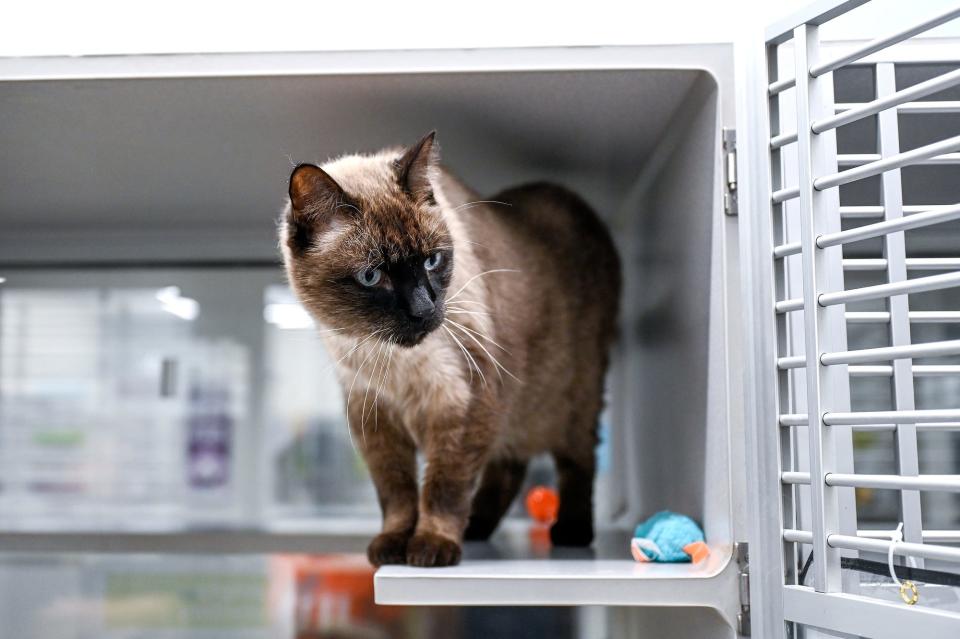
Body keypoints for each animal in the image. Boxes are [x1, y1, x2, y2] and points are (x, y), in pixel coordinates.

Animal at [282, 132, 620, 568]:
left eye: (433, 261)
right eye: (372, 276)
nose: (424, 311)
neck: (394, 363)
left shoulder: (462, 402)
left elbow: (443, 487)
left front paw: (431, 546)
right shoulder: (374, 418)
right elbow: (397, 494)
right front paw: (392, 546)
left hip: (574, 397)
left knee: (578, 460)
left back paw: (572, 533)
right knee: (510, 465)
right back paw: (476, 527)